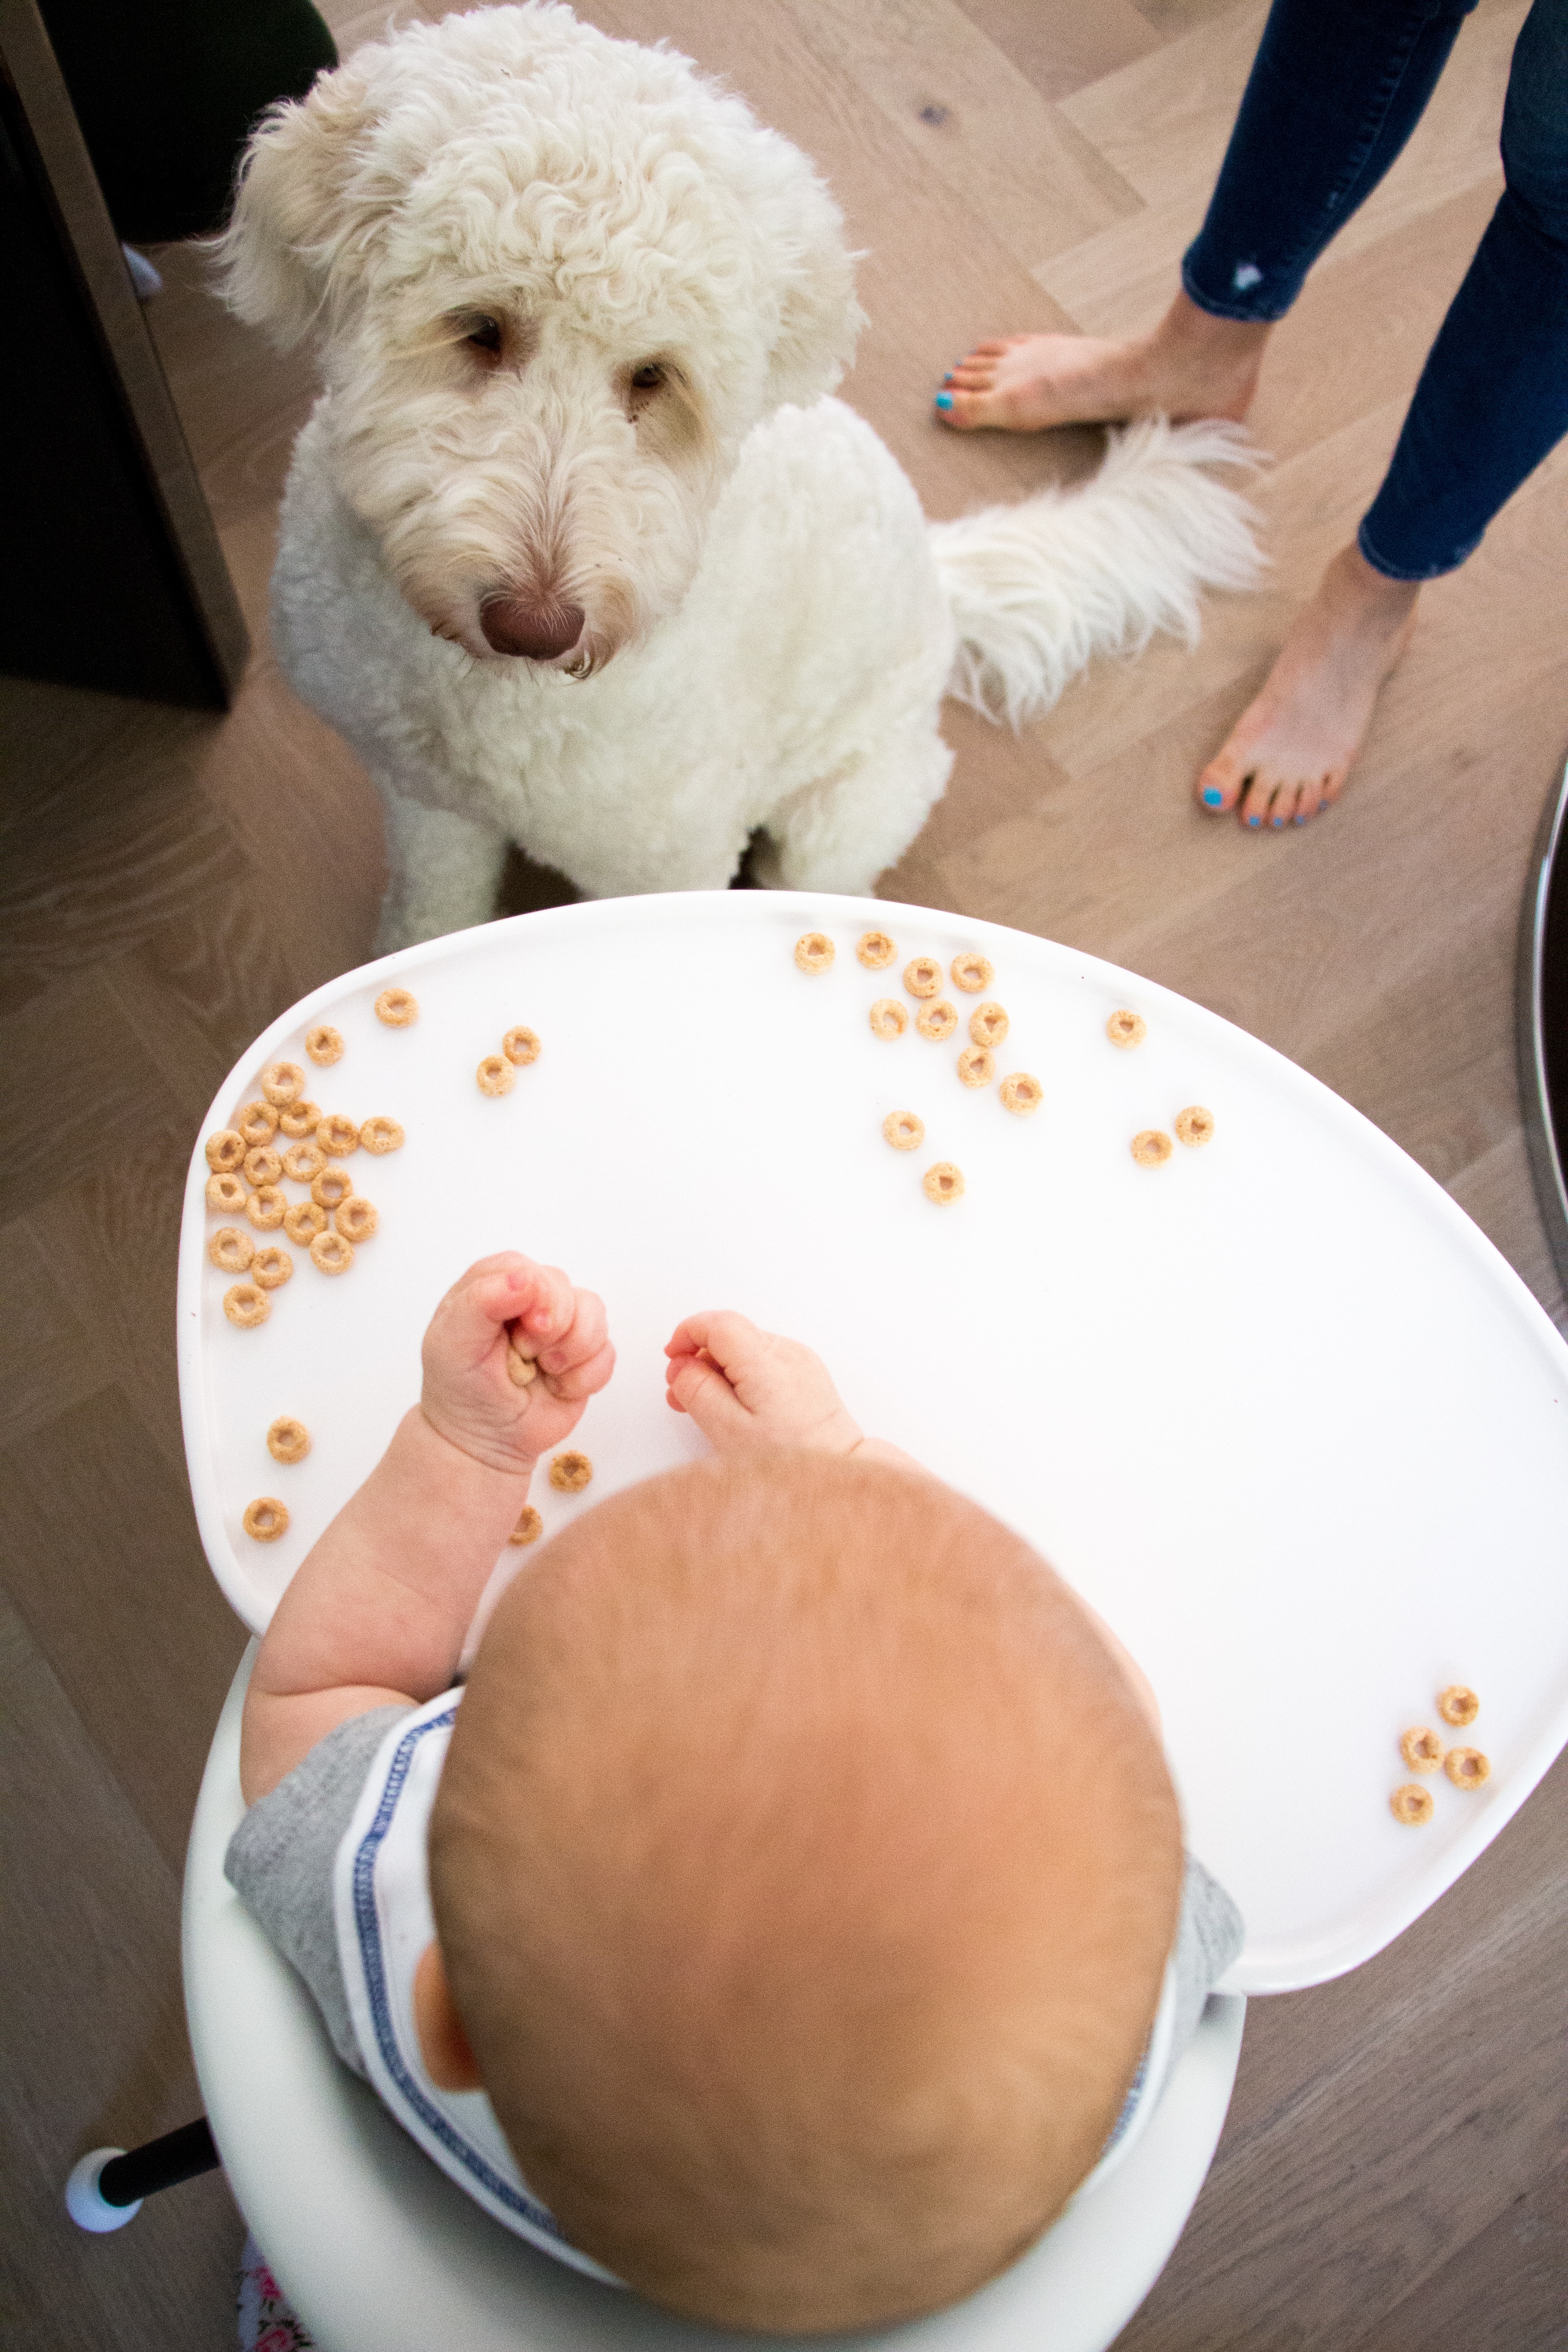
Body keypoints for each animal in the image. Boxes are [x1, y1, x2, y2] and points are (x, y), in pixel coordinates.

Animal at [221, 11, 1260, 945]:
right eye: (480, 329)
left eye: (654, 377)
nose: (535, 624)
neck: (483, 694)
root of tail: (937, 573)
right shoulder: (423, 799)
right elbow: (430, 908)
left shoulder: (663, 860)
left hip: (841, 814)